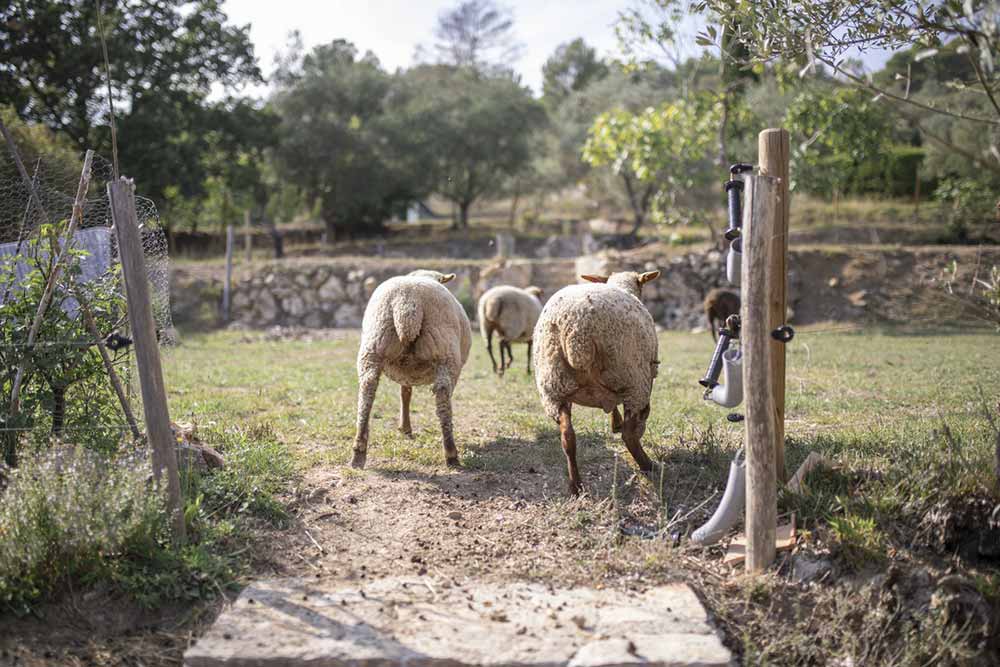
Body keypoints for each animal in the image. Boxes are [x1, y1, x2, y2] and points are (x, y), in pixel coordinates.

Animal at [352, 269, 472, 469]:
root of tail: (406, 304)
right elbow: (407, 394)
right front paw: (406, 428)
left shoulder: (405, 372)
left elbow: (405, 394)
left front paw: (405, 428)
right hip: (445, 352)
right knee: (443, 396)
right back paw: (451, 453)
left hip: (373, 345)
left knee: (366, 393)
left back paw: (358, 452)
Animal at [532, 270, 662, 494]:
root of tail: (576, 333)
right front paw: (625, 425)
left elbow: (612, 406)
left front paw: (615, 422)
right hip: (632, 376)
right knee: (629, 436)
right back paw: (648, 466)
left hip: (553, 386)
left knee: (567, 437)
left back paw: (576, 486)